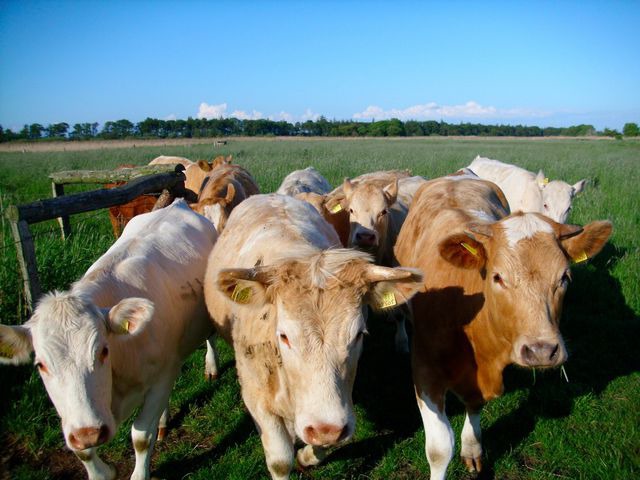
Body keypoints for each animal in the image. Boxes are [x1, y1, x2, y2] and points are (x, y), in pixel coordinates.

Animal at [0, 199, 218, 480]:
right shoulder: (77, 417)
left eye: (102, 351)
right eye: (41, 365)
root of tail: (178, 203)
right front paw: (102, 472)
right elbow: (83, 452)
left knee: (210, 338)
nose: (89, 433)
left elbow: (140, 436)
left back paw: (210, 368)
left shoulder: (162, 376)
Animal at [205, 193, 424, 478]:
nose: (326, 428)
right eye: (284, 336)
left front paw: (308, 455)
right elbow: (280, 459)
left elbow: (321, 444)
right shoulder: (256, 395)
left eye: (359, 334)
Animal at [392, 176, 612, 480]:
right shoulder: (425, 370)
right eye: (498, 277)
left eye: (564, 277)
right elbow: (439, 448)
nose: (542, 351)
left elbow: (475, 407)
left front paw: (472, 448)